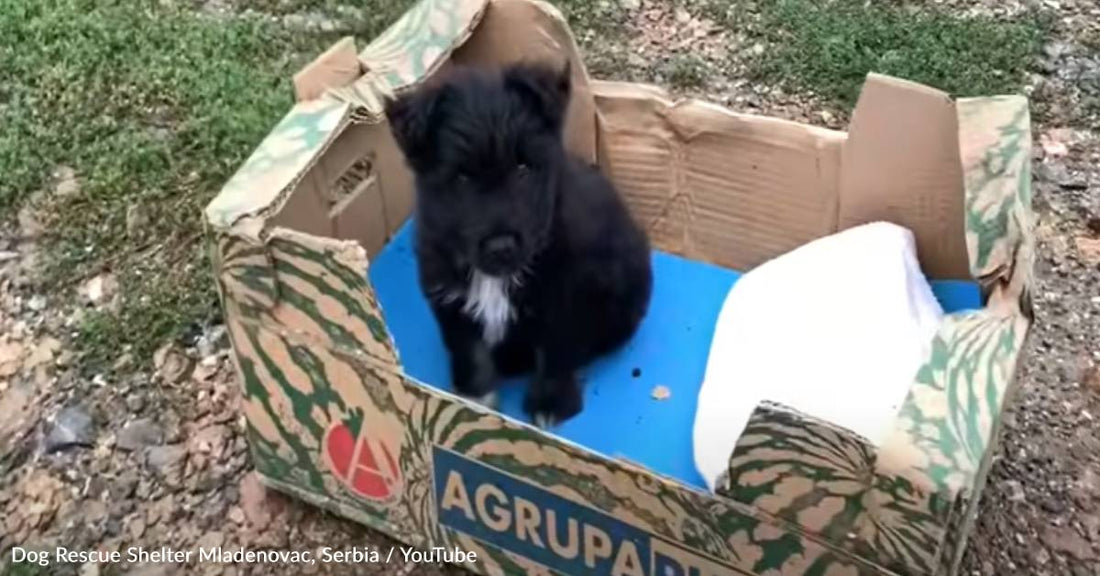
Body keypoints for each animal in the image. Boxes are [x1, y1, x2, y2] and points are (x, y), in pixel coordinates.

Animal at [385, 60, 651, 426]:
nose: (502, 247)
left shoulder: (565, 300)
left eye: (523, 166)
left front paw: (550, 404)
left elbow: (554, 354)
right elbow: (470, 351)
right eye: (461, 177)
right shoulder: (449, 299)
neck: (497, 278)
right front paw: (474, 398)